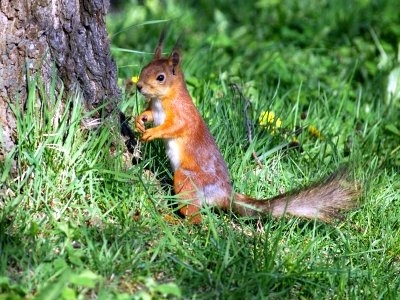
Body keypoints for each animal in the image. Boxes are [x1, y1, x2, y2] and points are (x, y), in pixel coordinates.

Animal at [135, 34, 360, 224]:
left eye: (161, 77)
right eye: (144, 68)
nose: (139, 87)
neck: (162, 99)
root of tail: (224, 195)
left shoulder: (183, 116)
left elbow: (175, 127)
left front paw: (152, 133)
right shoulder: (155, 109)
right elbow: (150, 115)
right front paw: (140, 120)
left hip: (186, 180)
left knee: (195, 216)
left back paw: (176, 221)